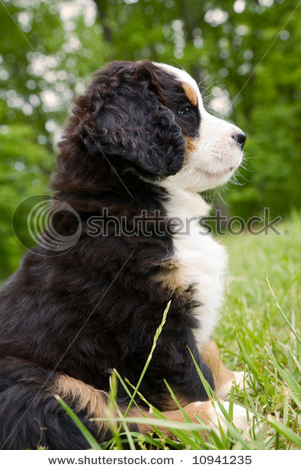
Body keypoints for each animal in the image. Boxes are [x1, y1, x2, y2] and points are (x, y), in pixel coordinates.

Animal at [0, 59, 247, 448]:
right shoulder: (150, 322)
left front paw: (232, 381)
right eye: (184, 112)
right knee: (118, 421)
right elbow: (191, 376)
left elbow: (209, 349)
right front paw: (220, 404)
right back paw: (222, 421)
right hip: (37, 383)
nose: (242, 137)